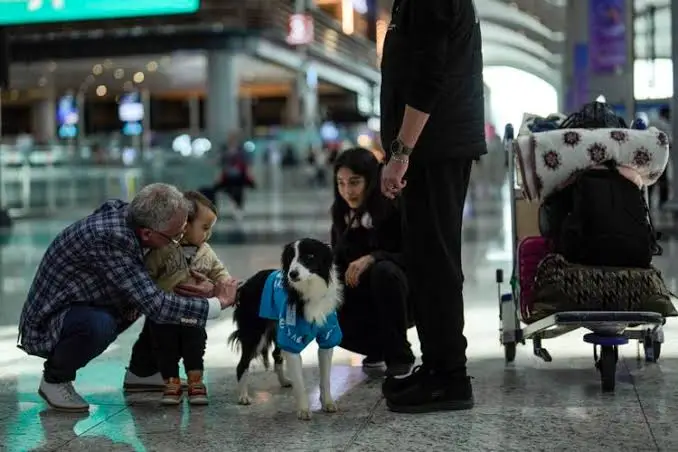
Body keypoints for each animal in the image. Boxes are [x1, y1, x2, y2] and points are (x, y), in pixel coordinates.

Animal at [230, 238, 346, 418]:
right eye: (291, 258)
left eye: (310, 256)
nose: (292, 274)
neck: (309, 289)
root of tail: (246, 283)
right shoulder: (292, 340)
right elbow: (300, 381)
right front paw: (304, 410)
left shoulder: (327, 337)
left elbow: (325, 378)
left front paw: (327, 403)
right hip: (255, 334)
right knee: (242, 365)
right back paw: (243, 397)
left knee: (275, 355)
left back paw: (283, 381)